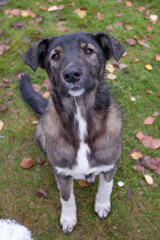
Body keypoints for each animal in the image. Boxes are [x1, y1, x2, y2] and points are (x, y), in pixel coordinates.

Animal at [19, 31, 125, 232]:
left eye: (88, 51)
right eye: (55, 56)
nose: (71, 74)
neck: (80, 116)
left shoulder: (109, 165)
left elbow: (106, 187)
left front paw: (102, 205)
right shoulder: (64, 174)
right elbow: (67, 198)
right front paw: (68, 219)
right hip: (40, 135)